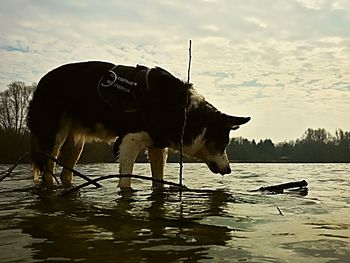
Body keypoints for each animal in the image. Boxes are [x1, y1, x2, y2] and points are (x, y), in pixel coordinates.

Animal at [28, 61, 252, 189]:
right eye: (222, 144)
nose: (229, 170)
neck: (181, 110)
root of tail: (41, 82)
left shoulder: (156, 146)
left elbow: (158, 183)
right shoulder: (130, 141)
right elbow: (125, 183)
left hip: (76, 143)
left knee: (66, 173)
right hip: (55, 136)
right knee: (48, 171)